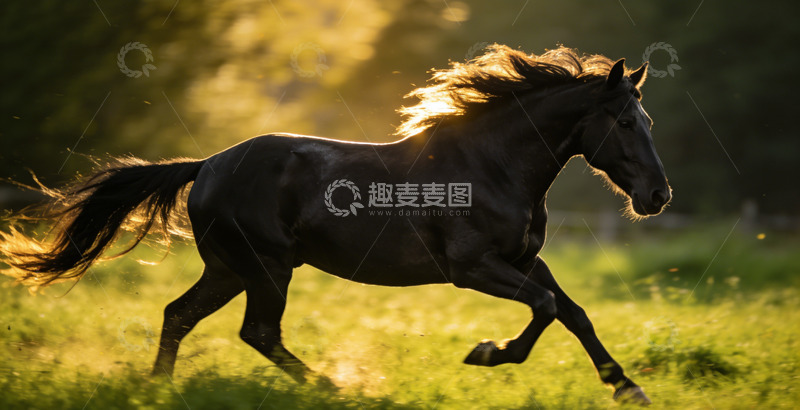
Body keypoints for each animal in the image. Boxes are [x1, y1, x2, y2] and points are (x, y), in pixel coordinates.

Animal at [1, 44, 670, 405]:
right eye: (625, 123)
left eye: (648, 120)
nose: (657, 196)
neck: (492, 166)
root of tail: (207, 165)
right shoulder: (473, 268)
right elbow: (546, 309)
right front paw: (486, 354)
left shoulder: (526, 259)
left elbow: (573, 311)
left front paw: (627, 388)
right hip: (266, 267)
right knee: (258, 333)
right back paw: (334, 389)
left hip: (230, 269)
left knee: (178, 315)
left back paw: (158, 390)